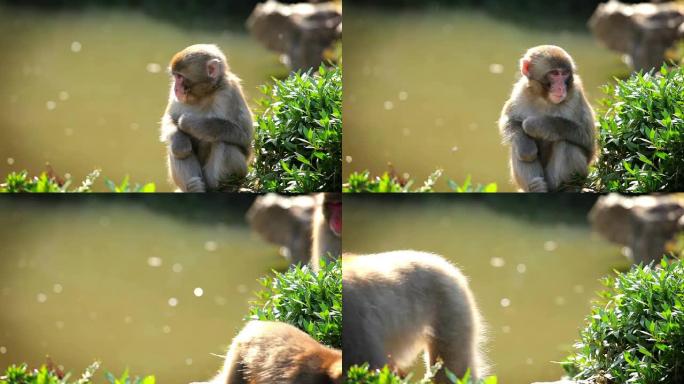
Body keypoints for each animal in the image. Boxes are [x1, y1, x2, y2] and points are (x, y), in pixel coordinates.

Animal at [161, 44, 254, 192]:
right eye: (175, 77)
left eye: (180, 77)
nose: (176, 88)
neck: (204, 94)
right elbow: (169, 118)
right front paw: (180, 142)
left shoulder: (229, 93)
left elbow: (244, 137)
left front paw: (190, 123)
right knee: (176, 149)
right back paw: (194, 187)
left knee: (225, 143)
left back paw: (222, 187)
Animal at [500, 45, 596, 192]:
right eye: (555, 73)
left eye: (564, 73)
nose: (561, 87)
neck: (544, 99)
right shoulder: (520, 90)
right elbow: (508, 119)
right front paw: (526, 147)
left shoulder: (576, 95)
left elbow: (586, 137)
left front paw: (535, 125)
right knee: (518, 148)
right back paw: (536, 188)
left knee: (567, 144)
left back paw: (568, 189)